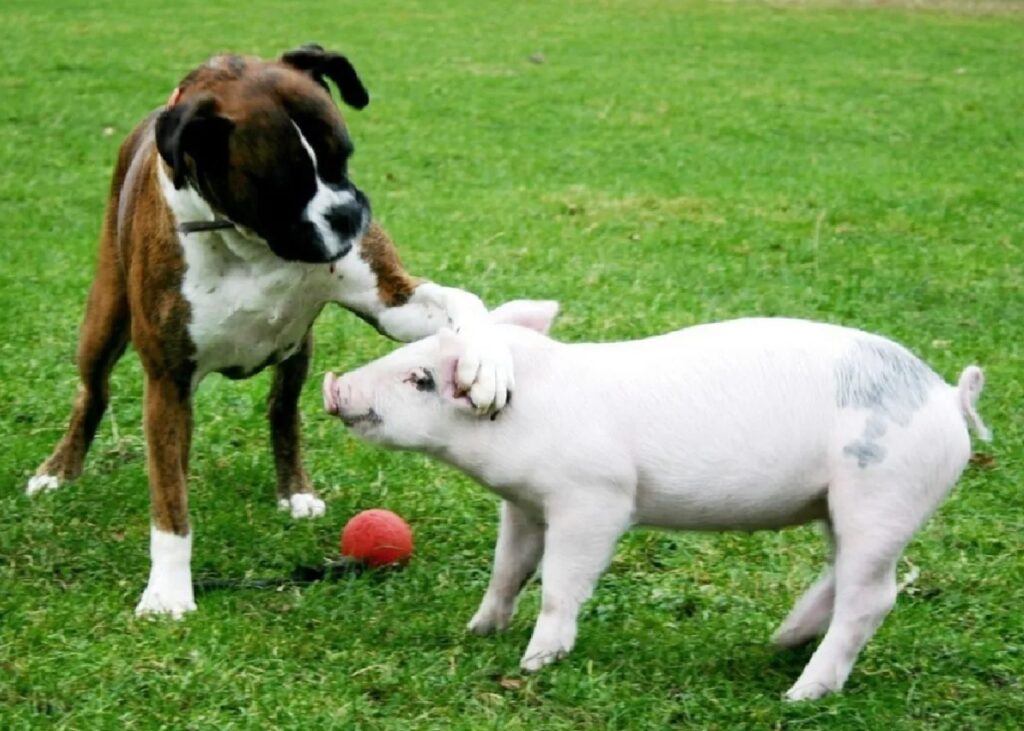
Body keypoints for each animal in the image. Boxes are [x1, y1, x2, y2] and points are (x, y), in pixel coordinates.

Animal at [25, 45, 512, 614]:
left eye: (344, 157)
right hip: (104, 317)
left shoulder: (393, 301)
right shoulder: (168, 382)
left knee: (283, 411)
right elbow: (169, 499)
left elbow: (465, 301)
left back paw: (294, 489)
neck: (249, 241)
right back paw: (58, 471)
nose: (347, 213)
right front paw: (167, 592)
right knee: (94, 393)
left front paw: (487, 364)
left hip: (297, 348)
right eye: (284, 184)